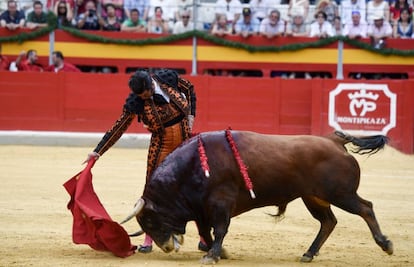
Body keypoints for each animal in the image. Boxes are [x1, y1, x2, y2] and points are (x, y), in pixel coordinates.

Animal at [121, 131, 392, 264]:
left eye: (151, 220)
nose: (166, 248)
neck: (193, 167)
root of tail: (335, 141)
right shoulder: (202, 209)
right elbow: (207, 232)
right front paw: (220, 252)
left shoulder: (220, 203)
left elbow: (219, 230)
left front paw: (212, 256)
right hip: (314, 197)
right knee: (328, 222)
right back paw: (308, 254)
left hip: (341, 194)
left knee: (366, 208)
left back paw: (385, 244)